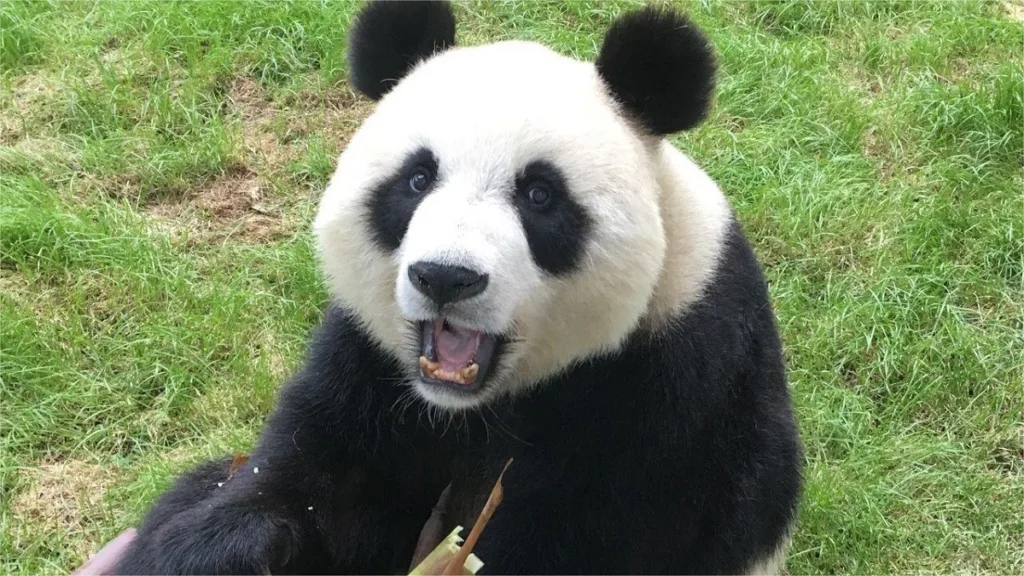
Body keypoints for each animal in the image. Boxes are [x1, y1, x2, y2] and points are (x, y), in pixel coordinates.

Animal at [115, 1, 802, 574]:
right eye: (417, 179)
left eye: (540, 195)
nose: (446, 276)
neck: (476, 407)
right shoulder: (368, 363)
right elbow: (314, 483)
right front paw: (205, 550)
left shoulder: (676, 387)